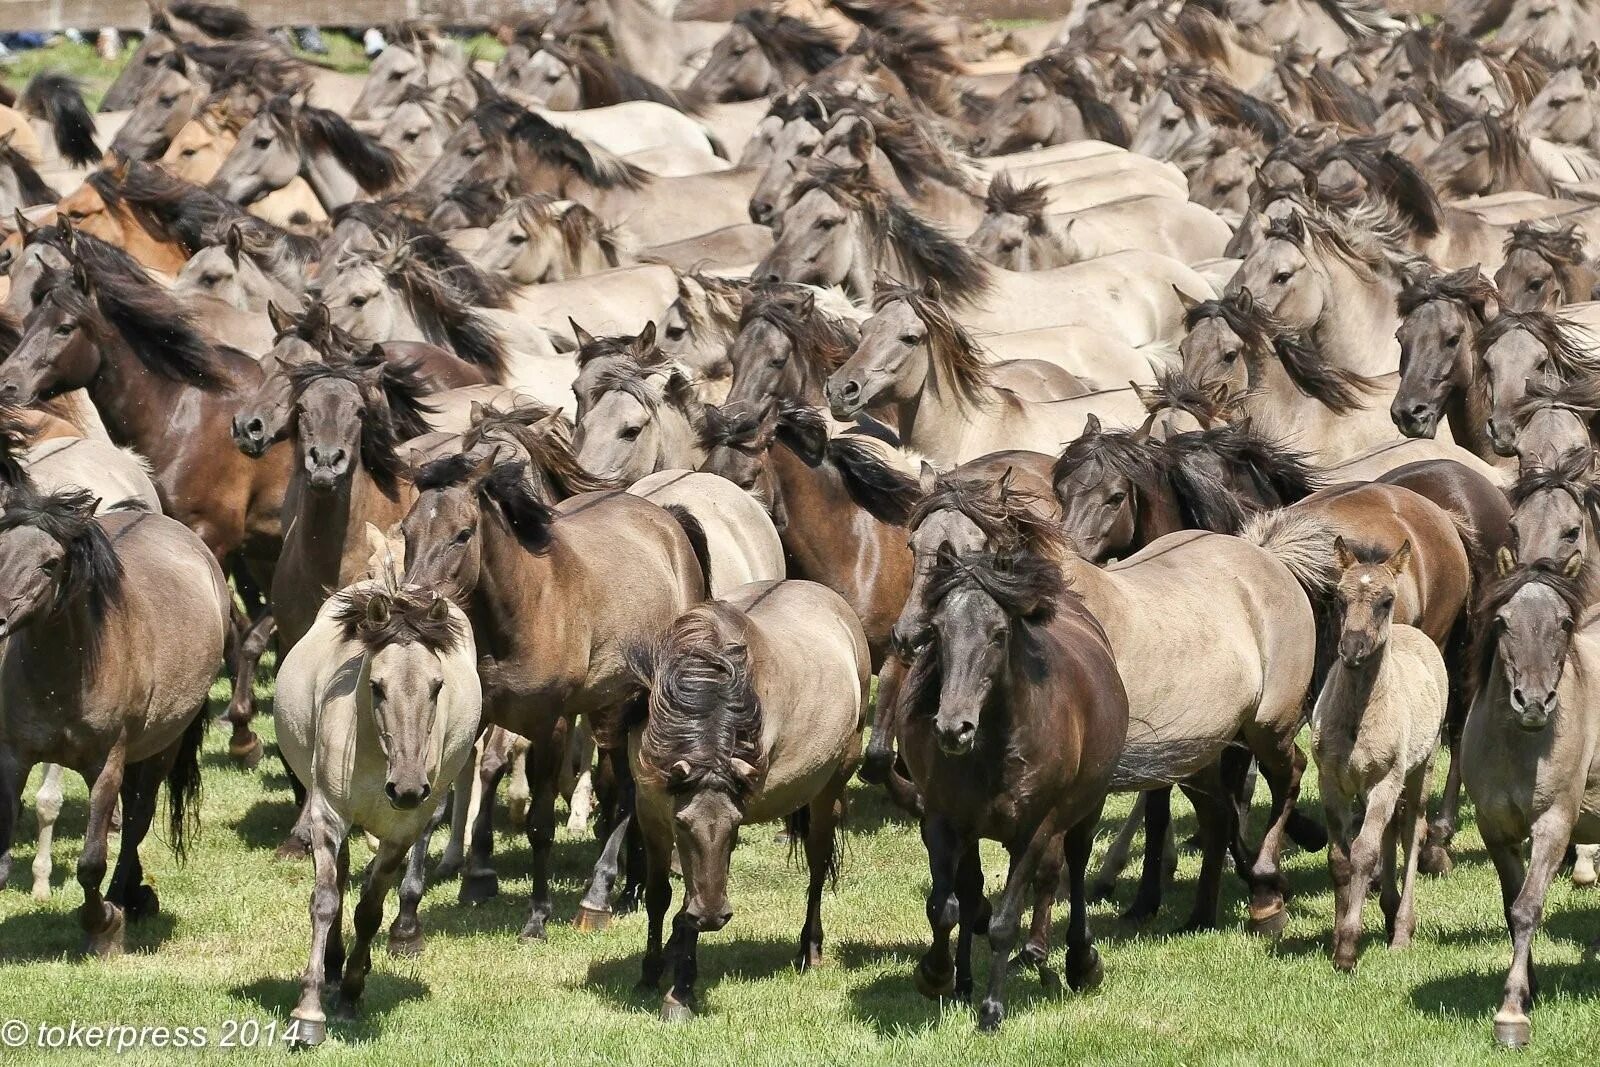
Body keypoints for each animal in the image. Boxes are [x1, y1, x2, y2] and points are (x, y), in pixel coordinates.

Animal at [275, 579, 480, 1049]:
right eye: (377, 686)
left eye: (437, 687)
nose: (407, 789)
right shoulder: (327, 816)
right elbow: (325, 902)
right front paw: (309, 1012)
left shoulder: (401, 832)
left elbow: (369, 911)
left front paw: (351, 996)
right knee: (340, 876)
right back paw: (332, 966)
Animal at [630, 579, 870, 1023]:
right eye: (681, 825)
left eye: (736, 830)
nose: (713, 917)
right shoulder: (649, 809)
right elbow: (658, 895)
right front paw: (651, 971)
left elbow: (689, 899)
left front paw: (680, 992)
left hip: (831, 783)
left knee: (817, 863)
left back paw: (810, 948)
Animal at [902, 547, 1126, 1030]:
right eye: (938, 630)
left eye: (999, 634)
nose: (953, 729)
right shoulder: (943, 822)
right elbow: (945, 905)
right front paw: (936, 975)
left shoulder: (1035, 830)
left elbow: (1005, 921)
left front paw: (991, 1010)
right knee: (972, 893)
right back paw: (968, 978)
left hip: (1088, 809)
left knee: (1074, 867)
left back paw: (1079, 963)